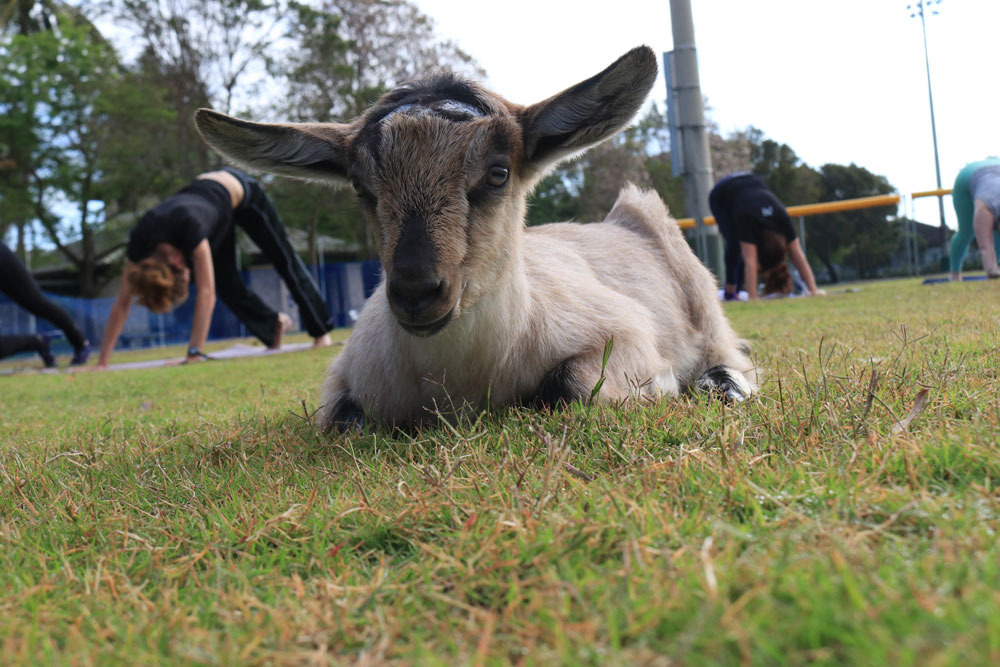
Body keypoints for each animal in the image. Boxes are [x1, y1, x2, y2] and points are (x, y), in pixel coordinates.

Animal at [194, 46, 756, 431]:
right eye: (360, 186)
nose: (416, 290)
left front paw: (666, 385)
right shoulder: (345, 378)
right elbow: (341, 420)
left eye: (498, 172)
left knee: (727, 349)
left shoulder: (624, 331)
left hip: (700, 296)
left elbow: (575, 386)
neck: (467, 382)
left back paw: (725, 384)